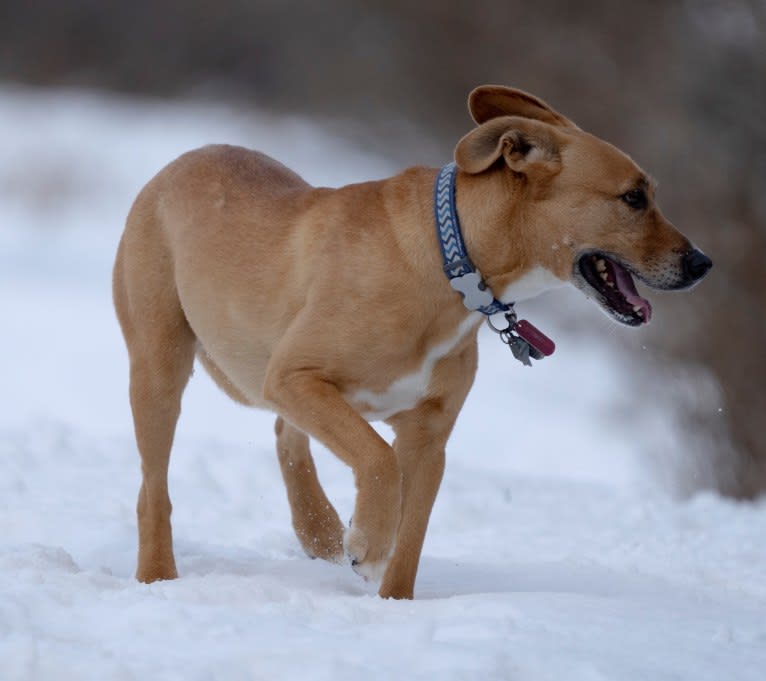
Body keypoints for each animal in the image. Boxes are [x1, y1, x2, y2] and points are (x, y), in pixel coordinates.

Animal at [112, 86, 712, 600]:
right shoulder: (298, 378)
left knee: (286, 436)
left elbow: (411, 533)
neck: (454, 261)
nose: (702, 263)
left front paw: (390, 597)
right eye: (633, 198)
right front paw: (368, 544)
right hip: (160, 366)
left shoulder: (428, 436)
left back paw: (319, 529)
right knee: (152, 490)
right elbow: (378, 462)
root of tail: (180, 161)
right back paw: (158, 575)